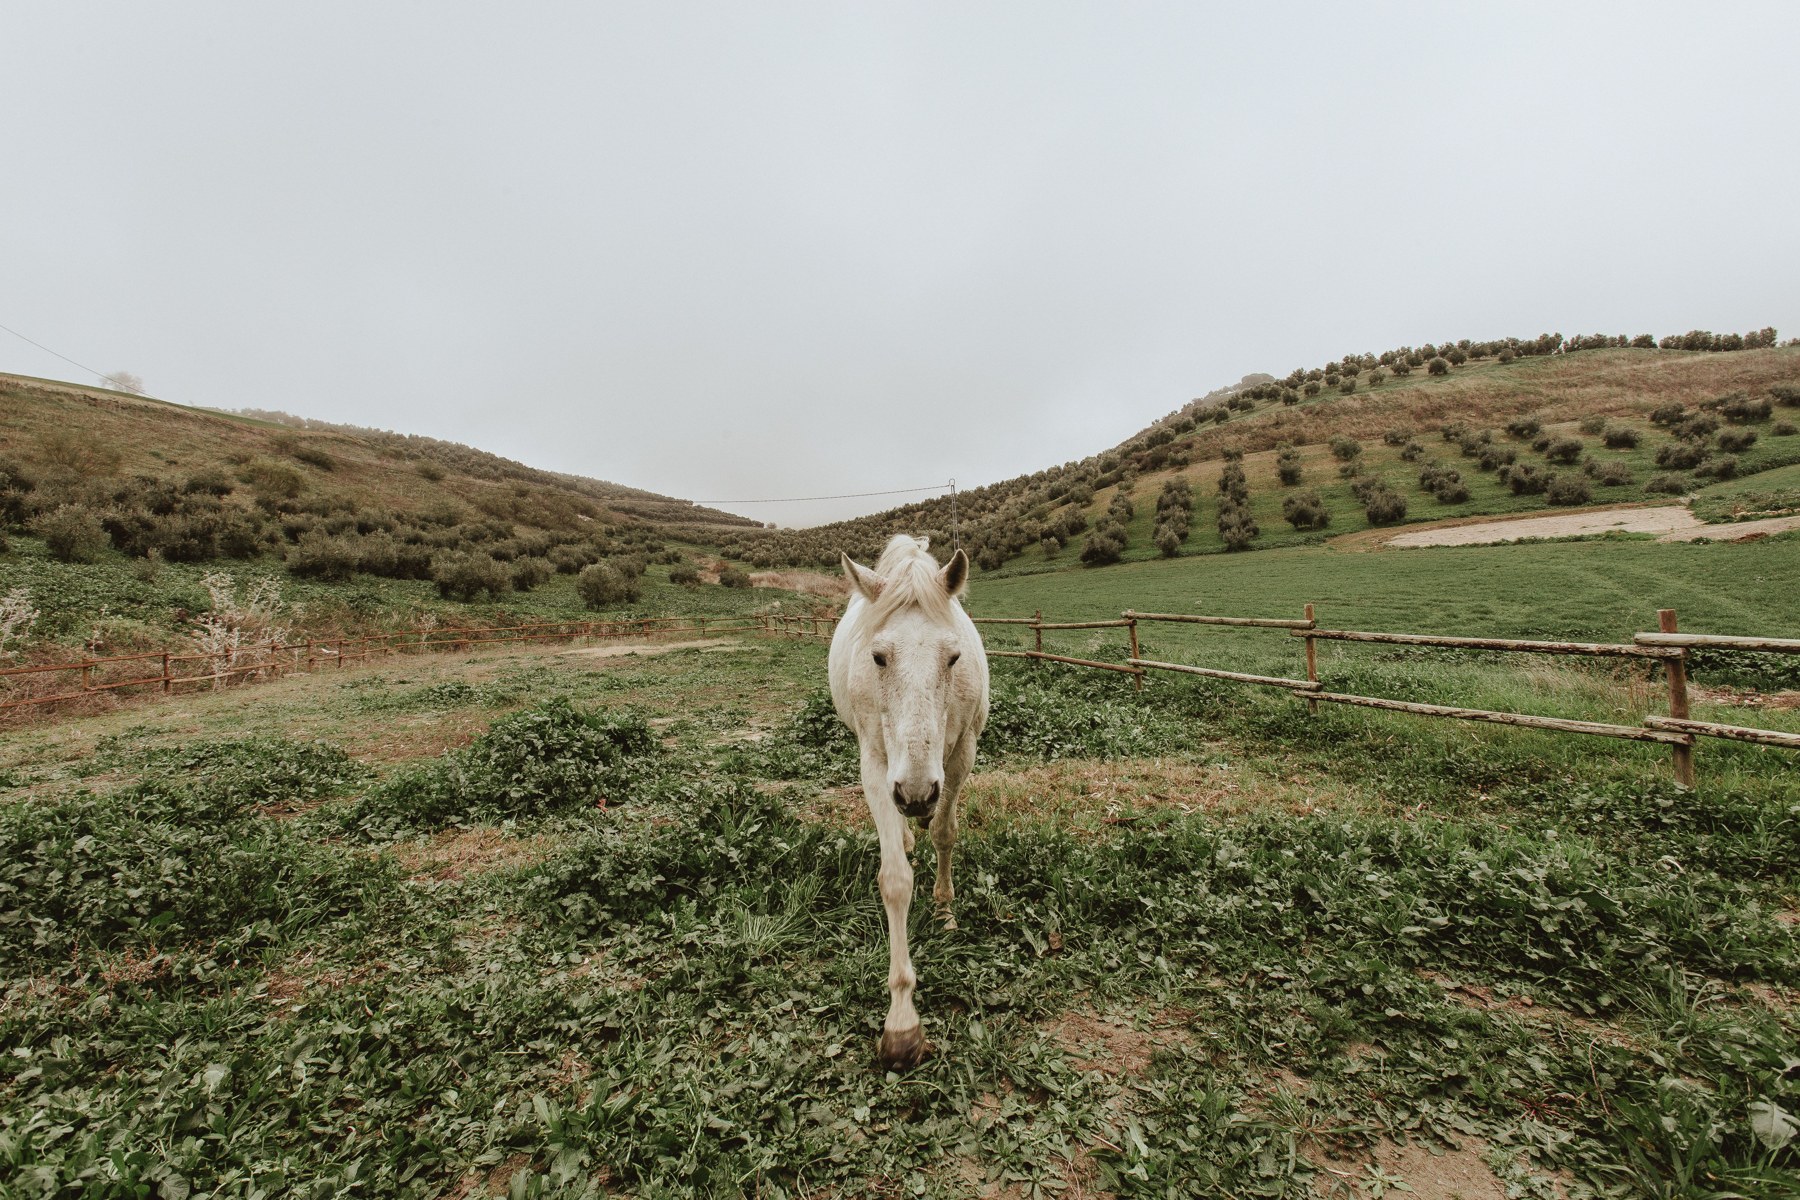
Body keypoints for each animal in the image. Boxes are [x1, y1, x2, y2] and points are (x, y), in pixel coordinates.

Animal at [828, 534, 989, 1070]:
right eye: (878, 658)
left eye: (954, 658)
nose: (916, 794)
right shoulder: (875, 765)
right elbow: (895, 879)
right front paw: (902, 1023)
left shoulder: (961, 754)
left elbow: (945, 832)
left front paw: (944, 910)